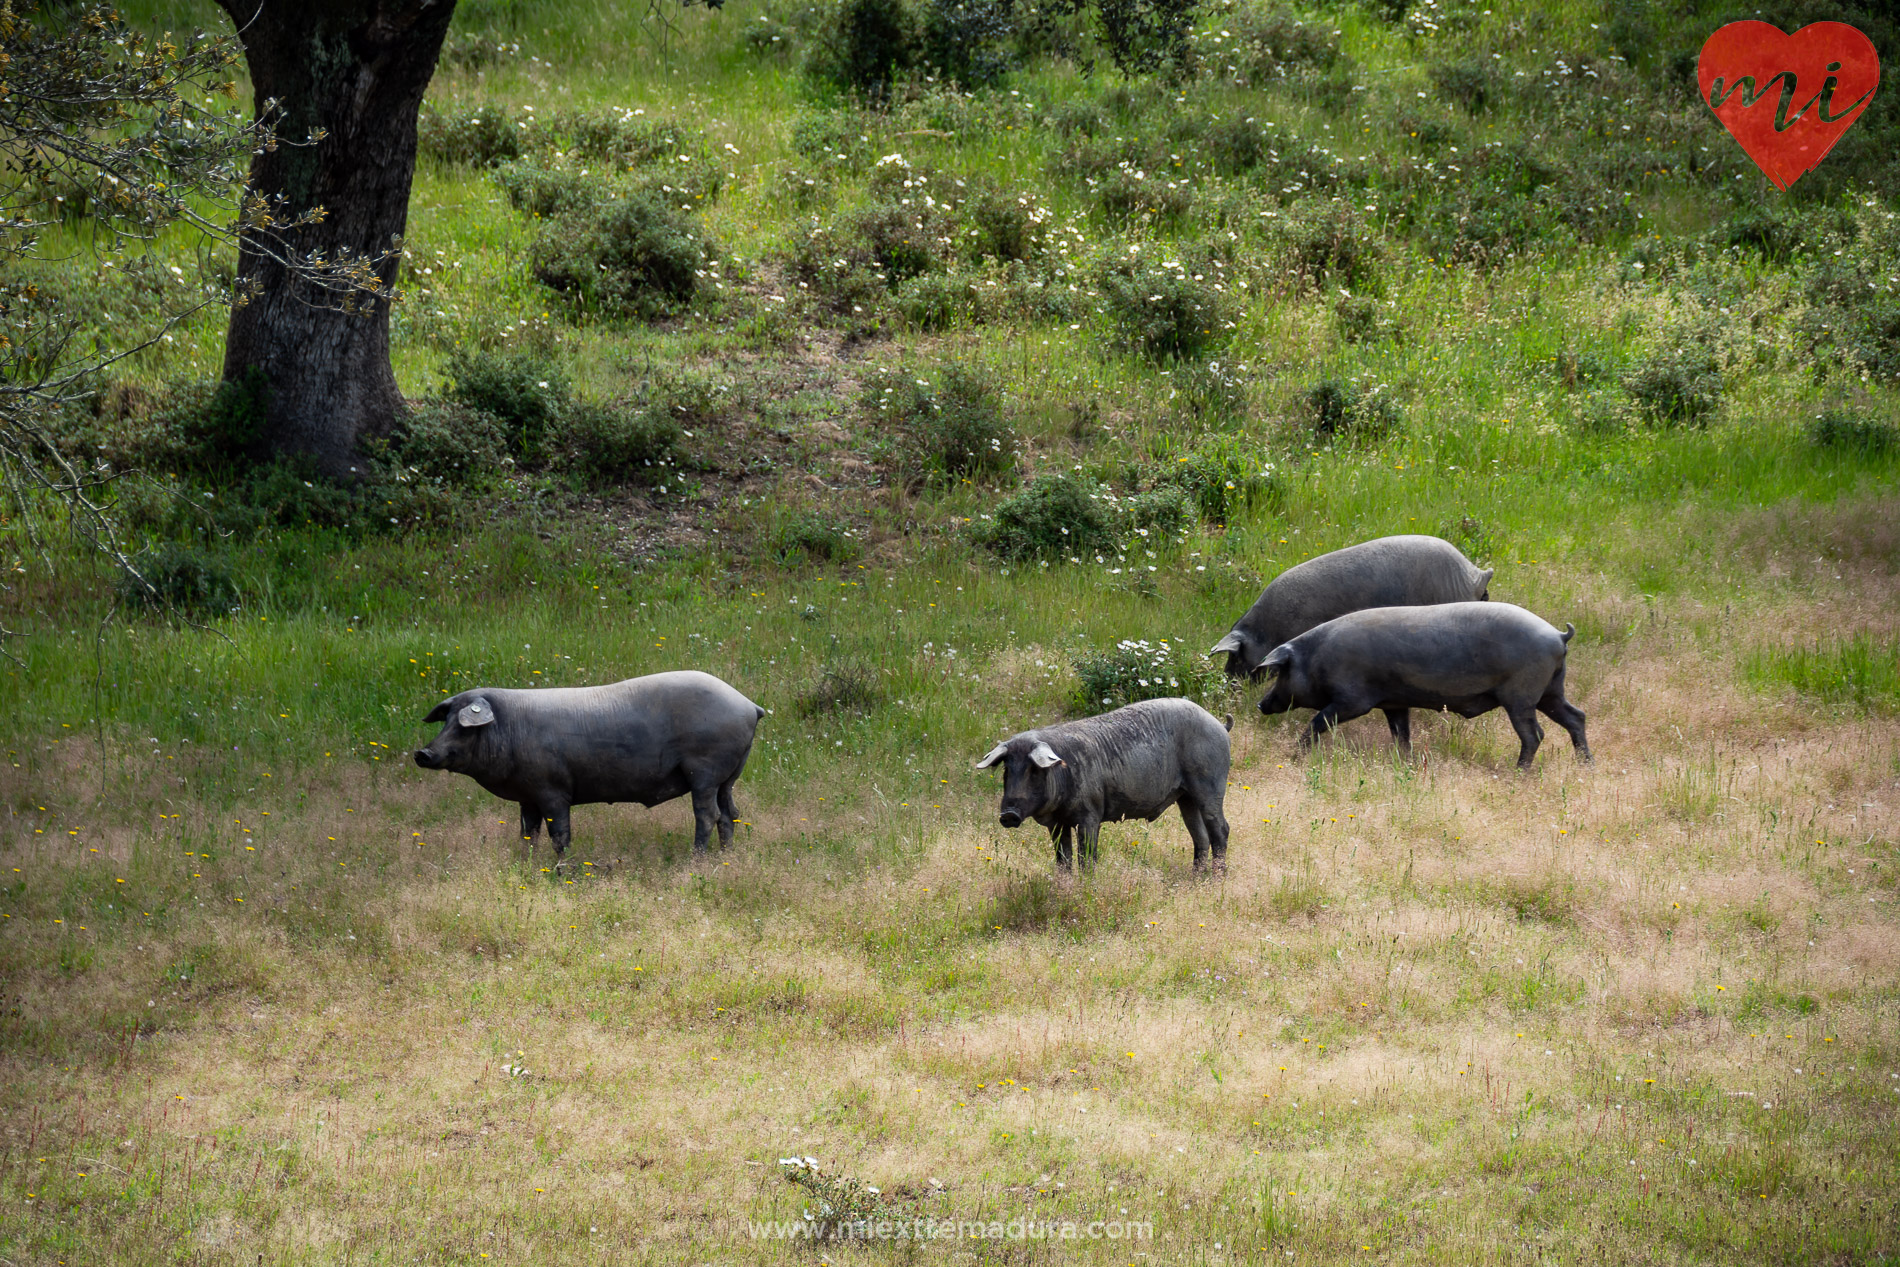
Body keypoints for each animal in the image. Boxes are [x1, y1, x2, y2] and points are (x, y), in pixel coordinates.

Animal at [416, 668, 763, 866]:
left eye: (464, 727)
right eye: (446, 720)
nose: (422, 752)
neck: (510, 728)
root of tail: (750, 706)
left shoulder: (553, 790)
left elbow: (559, 833)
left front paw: (563, 869)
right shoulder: (528, 797)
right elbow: (528, 832)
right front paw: (525, 865)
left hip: (705, 771)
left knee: (708, 815)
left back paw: (695, 862)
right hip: (729, 776)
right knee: (730, 813)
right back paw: (727, 857)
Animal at [980, 702, 1231, 873]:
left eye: (1034, 770)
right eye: (1007, 770)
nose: (1008, 814)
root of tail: (1220, 725)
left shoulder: (1090, 814)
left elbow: (1087, 858)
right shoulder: (1057, 825)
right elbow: (1063, 860)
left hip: (1210, 784)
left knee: (1221, 829)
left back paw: (1216, 879)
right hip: (1185, 797)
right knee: (1200, 835)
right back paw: (1196, 877)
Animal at [1254, 607, 1580, 775]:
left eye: (1281, 672)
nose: (1260, 704)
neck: (1316, 659)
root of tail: (1558, 635)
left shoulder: (1352, 701)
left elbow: (1318, 722)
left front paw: (1295, 756)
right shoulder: (1394, 703)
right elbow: (1402, 734)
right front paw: (1406, 763)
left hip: (1522, 695)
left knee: (1535, 734)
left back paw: (1518, 774)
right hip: (1551, 691)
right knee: (1576, 717)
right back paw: (1585, 765)